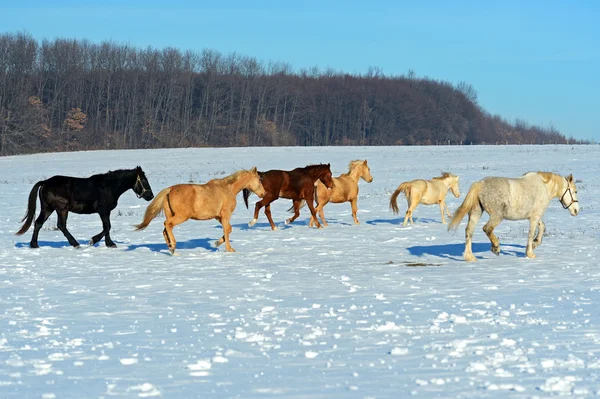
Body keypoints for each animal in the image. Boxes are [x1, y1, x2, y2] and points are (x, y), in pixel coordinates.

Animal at [17, 165, 156, 247]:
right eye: (144, 180)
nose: (150, 196)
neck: (109, 187)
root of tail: (45, 182)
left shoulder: (106, 212)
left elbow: (107, 227)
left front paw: (110, 244)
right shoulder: (103, 211)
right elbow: (107, 227)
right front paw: (93, 240)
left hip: (48, 208)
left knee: (38, 223)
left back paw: (34, 245)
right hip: (62, 209)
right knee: (61, 225)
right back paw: (75, 243)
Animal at [137, 167, 266, 255]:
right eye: (259, 180)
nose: (264, 194)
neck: (228, 189)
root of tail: (169, 190)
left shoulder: (218, 216)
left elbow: (229, 229)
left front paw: (217, 243)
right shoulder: (225, 215)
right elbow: (227, 230)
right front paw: (229, 249)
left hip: (171, 215)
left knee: (165, 229)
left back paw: (170, 248)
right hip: (181, 216)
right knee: (167, 224)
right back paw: (173, 246)